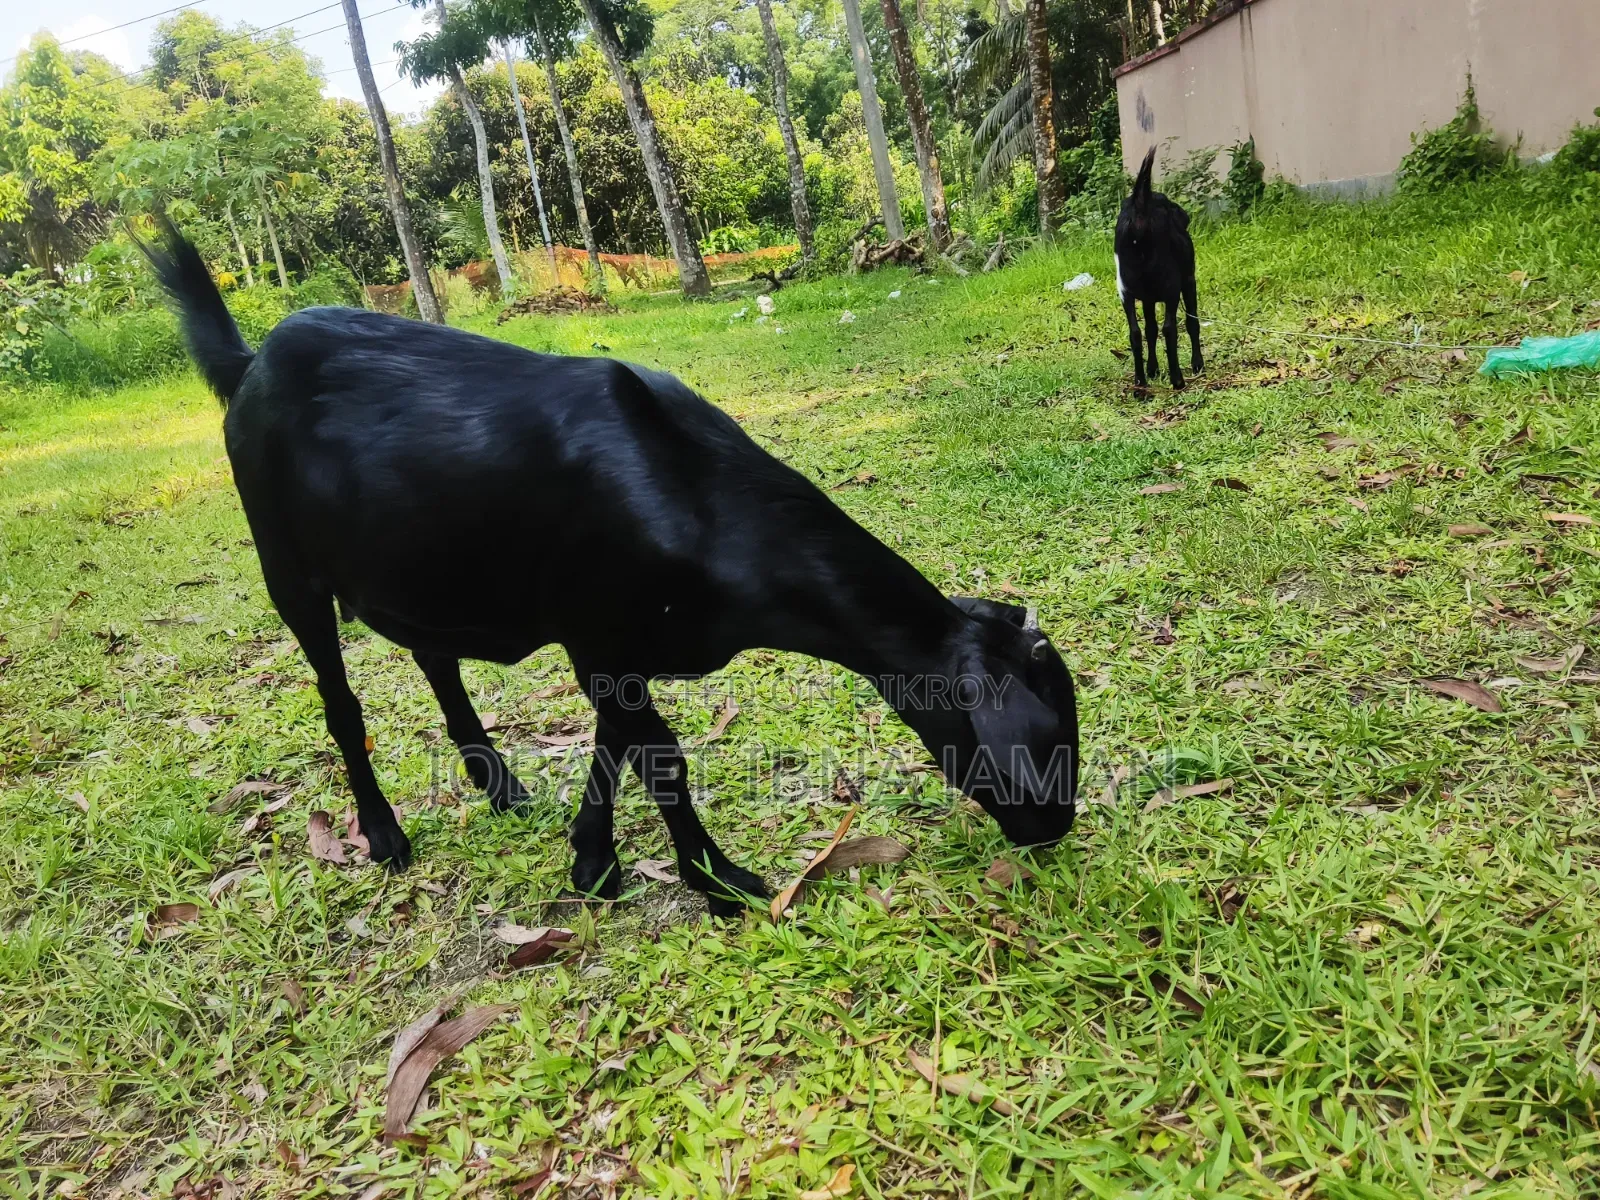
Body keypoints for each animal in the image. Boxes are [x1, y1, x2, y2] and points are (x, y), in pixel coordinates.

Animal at [138, 219, 1080, 916]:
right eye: (1042, 737)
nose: (1054, 828)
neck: (697, 496)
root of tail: (250, 364)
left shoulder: (613, 650)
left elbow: (616, 748)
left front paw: (592, 862)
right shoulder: (596, 634)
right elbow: (658, 756)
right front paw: (720, 881)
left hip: (420, 566)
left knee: (436, 658)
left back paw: (501, 787)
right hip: (287, 566)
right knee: (342, 704)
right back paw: (386, 835)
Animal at [1114, 147, 1202, 391]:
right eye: (1169, 206)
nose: (1184, 215)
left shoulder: (1146, 298)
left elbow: (1149, 329)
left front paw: (1152, 369)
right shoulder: (1188, 281)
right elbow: (1192, 322)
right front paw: (1197, 364)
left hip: (1125, 293)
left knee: (1135, 333)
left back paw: (1140, 381)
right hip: (1172, 288)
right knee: (1170, 328)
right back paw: (1178, 379)